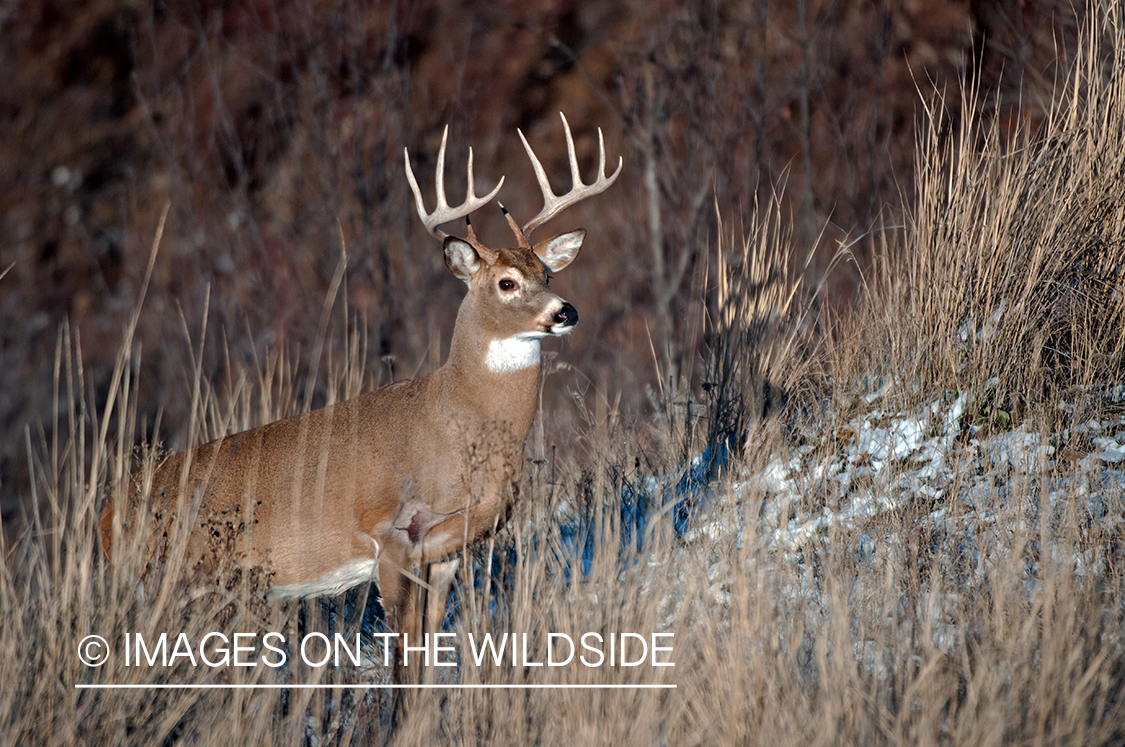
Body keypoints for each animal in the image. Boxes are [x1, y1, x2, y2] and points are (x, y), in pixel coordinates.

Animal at [100, 115, 621, 666]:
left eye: (547, 273)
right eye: (506, 282)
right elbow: (404, 654)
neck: (455, 422)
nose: (566, 311)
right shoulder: (388, 535)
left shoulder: (449, 555)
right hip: (180, 574)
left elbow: (428, 648)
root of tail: (108, 516)